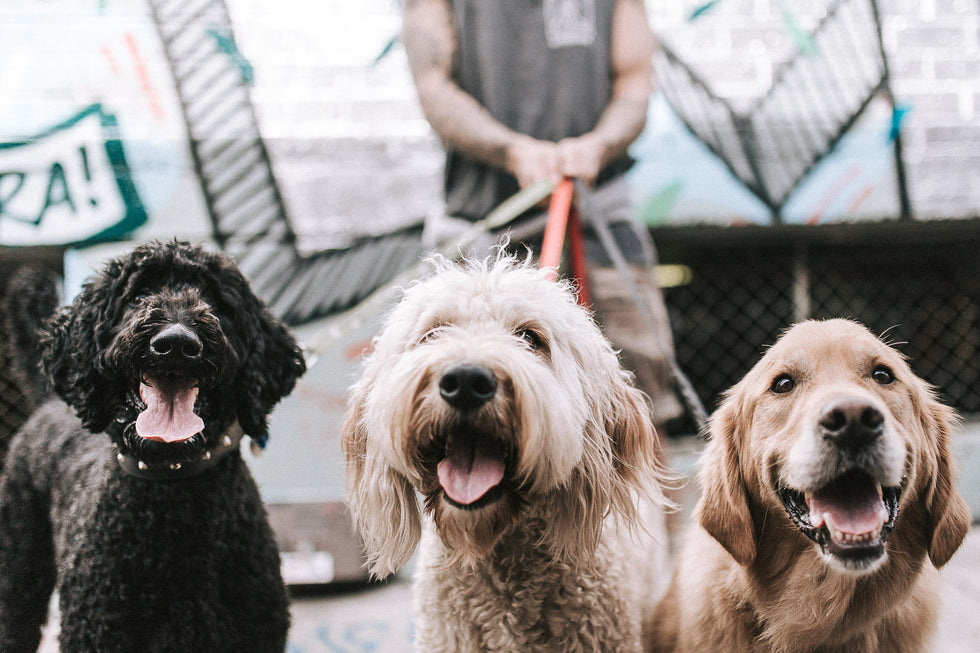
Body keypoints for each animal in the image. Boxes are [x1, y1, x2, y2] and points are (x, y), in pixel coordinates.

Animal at [0, 242, 306, 652]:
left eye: (214, 301)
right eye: (138, 295)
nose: (176, 343)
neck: (171, 496)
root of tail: (46, 403)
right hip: (17, 566)